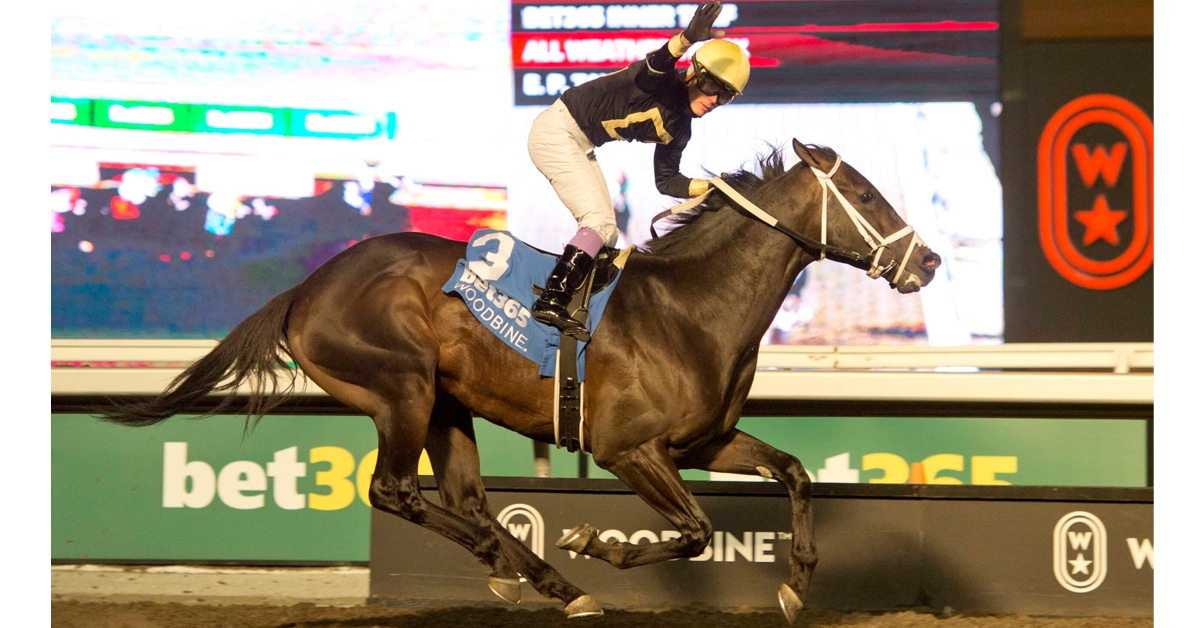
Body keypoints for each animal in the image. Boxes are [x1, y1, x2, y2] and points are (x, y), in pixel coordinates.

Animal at [98, 139, 941, 624]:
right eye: (866, 195)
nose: (928, 261)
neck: (689, 306)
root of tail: (305, 289)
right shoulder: (627, 447)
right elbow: (697, 530)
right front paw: (597, 543)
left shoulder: (706, 440)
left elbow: (795, 473)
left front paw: (797, 583)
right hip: (401, 388)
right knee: (395, 491)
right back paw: (533, 571)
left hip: (447, 403)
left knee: (466, 497)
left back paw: (532, 577)